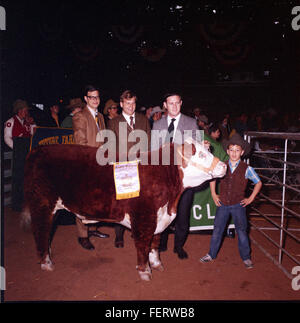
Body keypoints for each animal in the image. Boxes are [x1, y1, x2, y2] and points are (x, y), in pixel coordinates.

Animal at [22, 139, 225, 280]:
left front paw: (156, 264)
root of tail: (36, 151)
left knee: (45, 232)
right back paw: (46, 263)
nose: (224, 166)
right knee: (40, 230)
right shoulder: (144, 218)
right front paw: (145, 272)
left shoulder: (159, 218)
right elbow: (143, 245)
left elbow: (155, 243)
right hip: (41, 203)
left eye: (208, 151)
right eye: (201, 155)